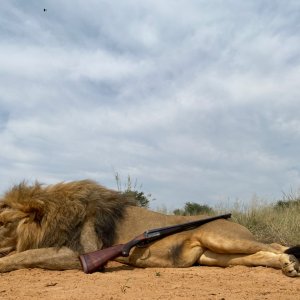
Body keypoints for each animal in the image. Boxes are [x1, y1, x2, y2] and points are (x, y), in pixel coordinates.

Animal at [0, 179, 298, 278]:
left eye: (3, 223)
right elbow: (25, 254)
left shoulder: (83, 253)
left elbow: (25, 255)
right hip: (214, 257)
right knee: (261, 255)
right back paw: (286, 266)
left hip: (220, 236)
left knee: (273, 245)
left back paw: (290, 262)